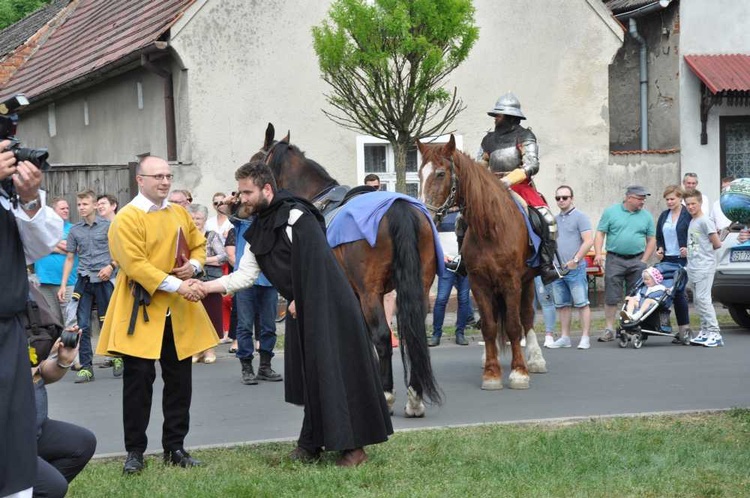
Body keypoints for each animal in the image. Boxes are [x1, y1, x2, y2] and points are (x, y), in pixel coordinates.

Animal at [256, 123, 444, 412]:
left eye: (256, 161)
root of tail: (400, 208)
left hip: (371, 294)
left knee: (382, 337)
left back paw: (387, 395)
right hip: (419, 289)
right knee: (414, 335)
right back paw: (414, 397)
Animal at [418, 135, 548, 390]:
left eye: (440, 173)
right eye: (419, 173)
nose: (426, 214)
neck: (491, 227)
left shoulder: (511, 282)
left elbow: (514, 325)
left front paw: (519, 372)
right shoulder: (479, 283)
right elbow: (488, 326)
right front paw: (491, 373)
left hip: (528, 280)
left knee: (527, 316)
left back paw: (536, 359)